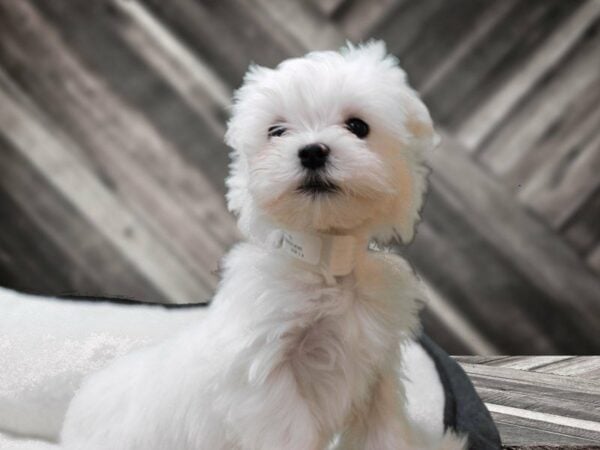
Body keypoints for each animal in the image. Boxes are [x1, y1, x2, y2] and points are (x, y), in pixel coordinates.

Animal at [59, 40, 464, 448]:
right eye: (277, 131)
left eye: (358, 126)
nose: (312, 151)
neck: (325, 260)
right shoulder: (263, 376)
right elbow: (291, 431)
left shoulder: (378, 366)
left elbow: (383, 429)